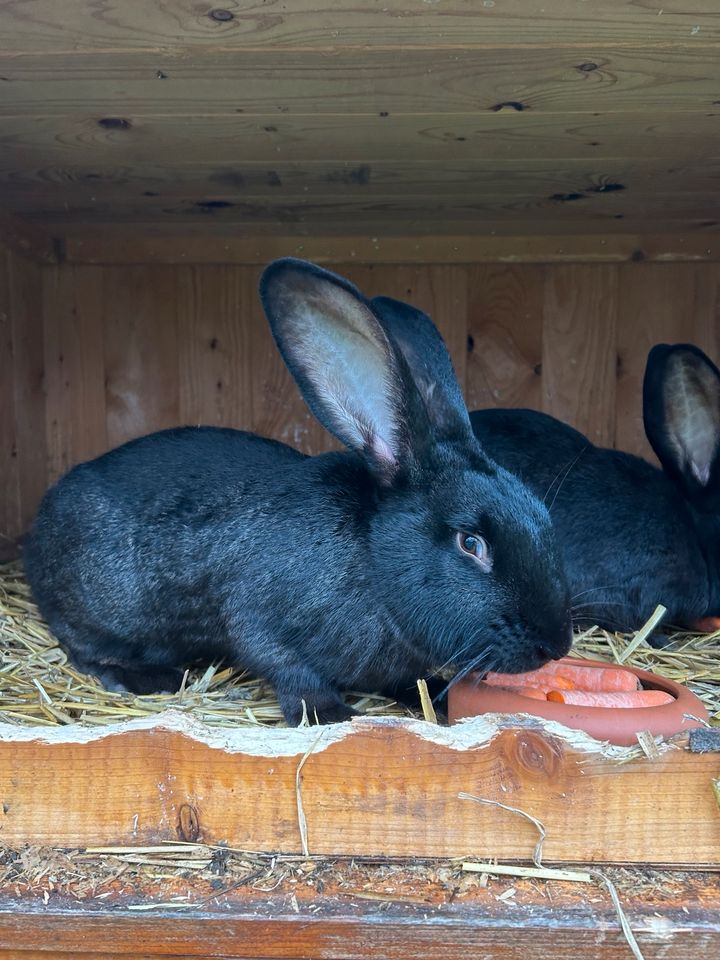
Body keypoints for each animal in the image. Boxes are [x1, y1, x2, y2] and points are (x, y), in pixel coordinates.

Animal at [25, 258, 572, 724]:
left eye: (545, 516)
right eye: (471, 543)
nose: (557, 644)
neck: (373, 562)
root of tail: (44, 516)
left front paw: (433, 695)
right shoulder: (259, 619)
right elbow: (288, 669)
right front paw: (331, 715)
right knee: (83, 645)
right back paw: (145, 676)